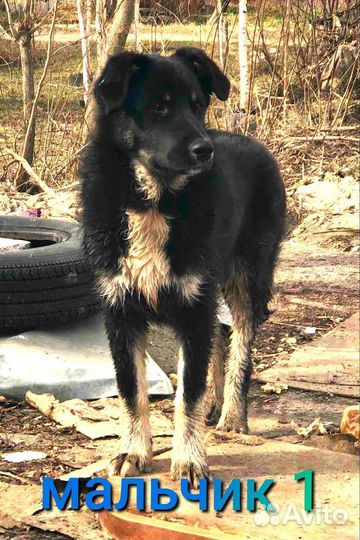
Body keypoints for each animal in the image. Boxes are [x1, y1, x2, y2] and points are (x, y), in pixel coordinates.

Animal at [80, 48, 286, 488]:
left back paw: (232, 415)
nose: (204, 150)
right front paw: (133, 451)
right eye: (158, 107)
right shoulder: (120, 312)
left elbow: (185, 394)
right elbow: (132, 391)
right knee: (220, 337)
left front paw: (189, 458)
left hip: (247, 279)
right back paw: (216, 404)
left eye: (197, 105)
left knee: (241, 342)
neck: (153, 202)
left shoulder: (193, 307)